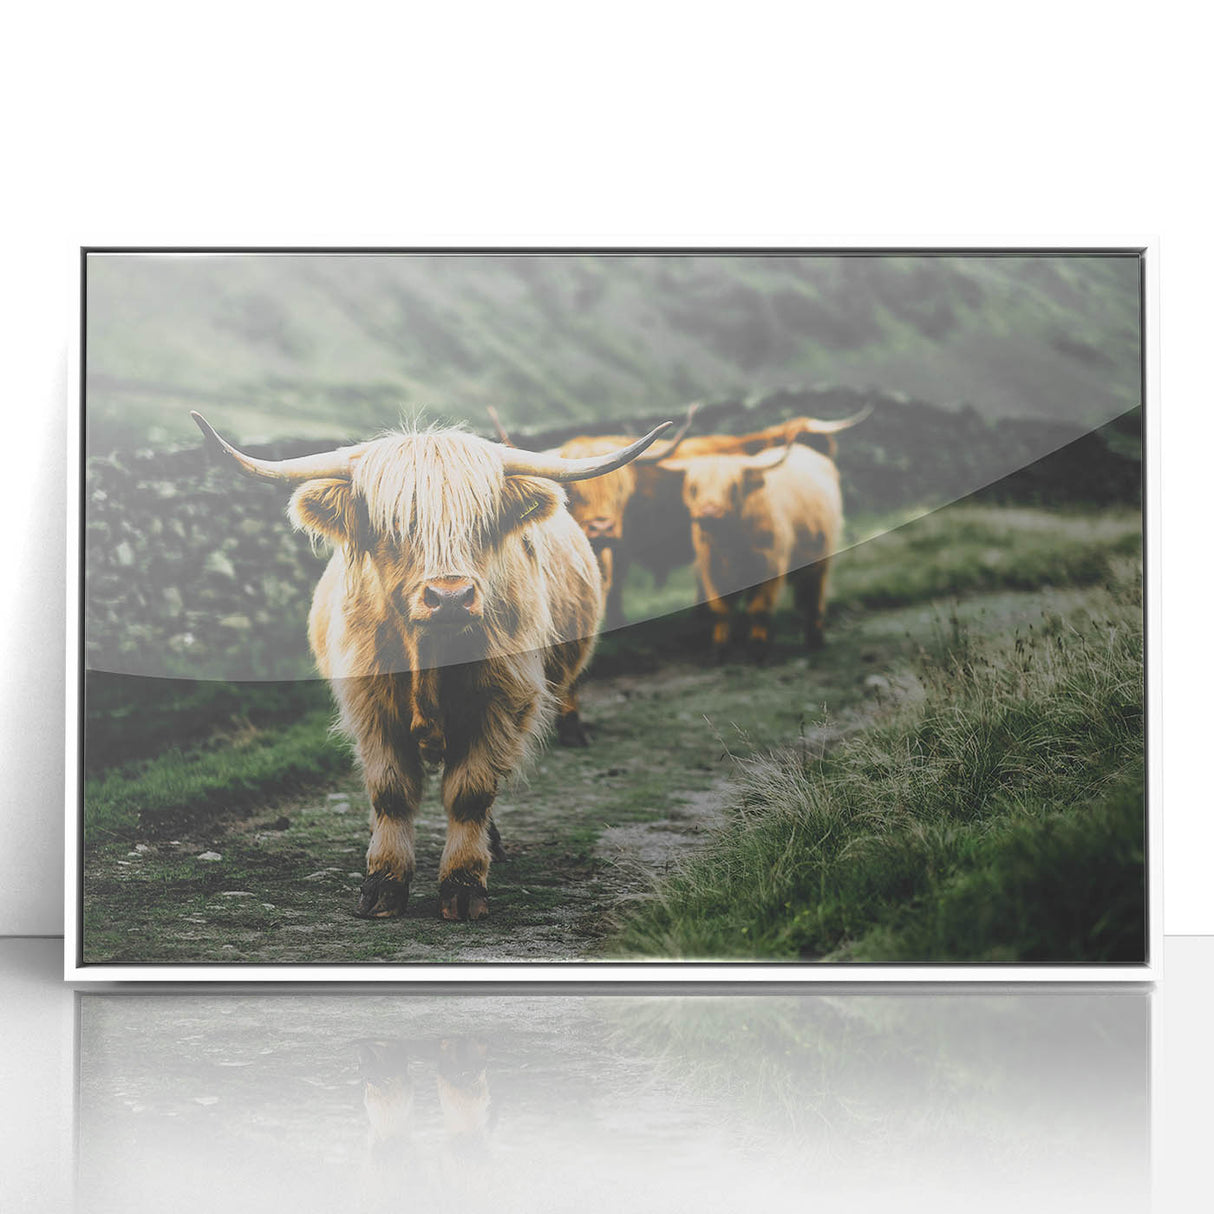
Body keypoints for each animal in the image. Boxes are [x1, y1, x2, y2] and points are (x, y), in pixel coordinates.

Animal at [191, 411, 671, 921]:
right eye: (395, 524)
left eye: (482, 522)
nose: (451, 597)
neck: (430, 659)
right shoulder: (370, 706)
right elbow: (391, 791)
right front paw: (382, 883)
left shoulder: (503, 702)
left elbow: (471, 792)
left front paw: (463, 885)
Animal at [657, 440, 844, 661]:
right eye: (694, 487)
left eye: (733, 487)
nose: (709, 512)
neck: (730, 543)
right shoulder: (710, 568)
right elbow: (721, 609)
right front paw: (720, 650)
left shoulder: (771, 564)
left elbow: (759, 608)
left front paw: (757, 650)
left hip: (821, 557)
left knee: (814, 597)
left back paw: (815, 638)